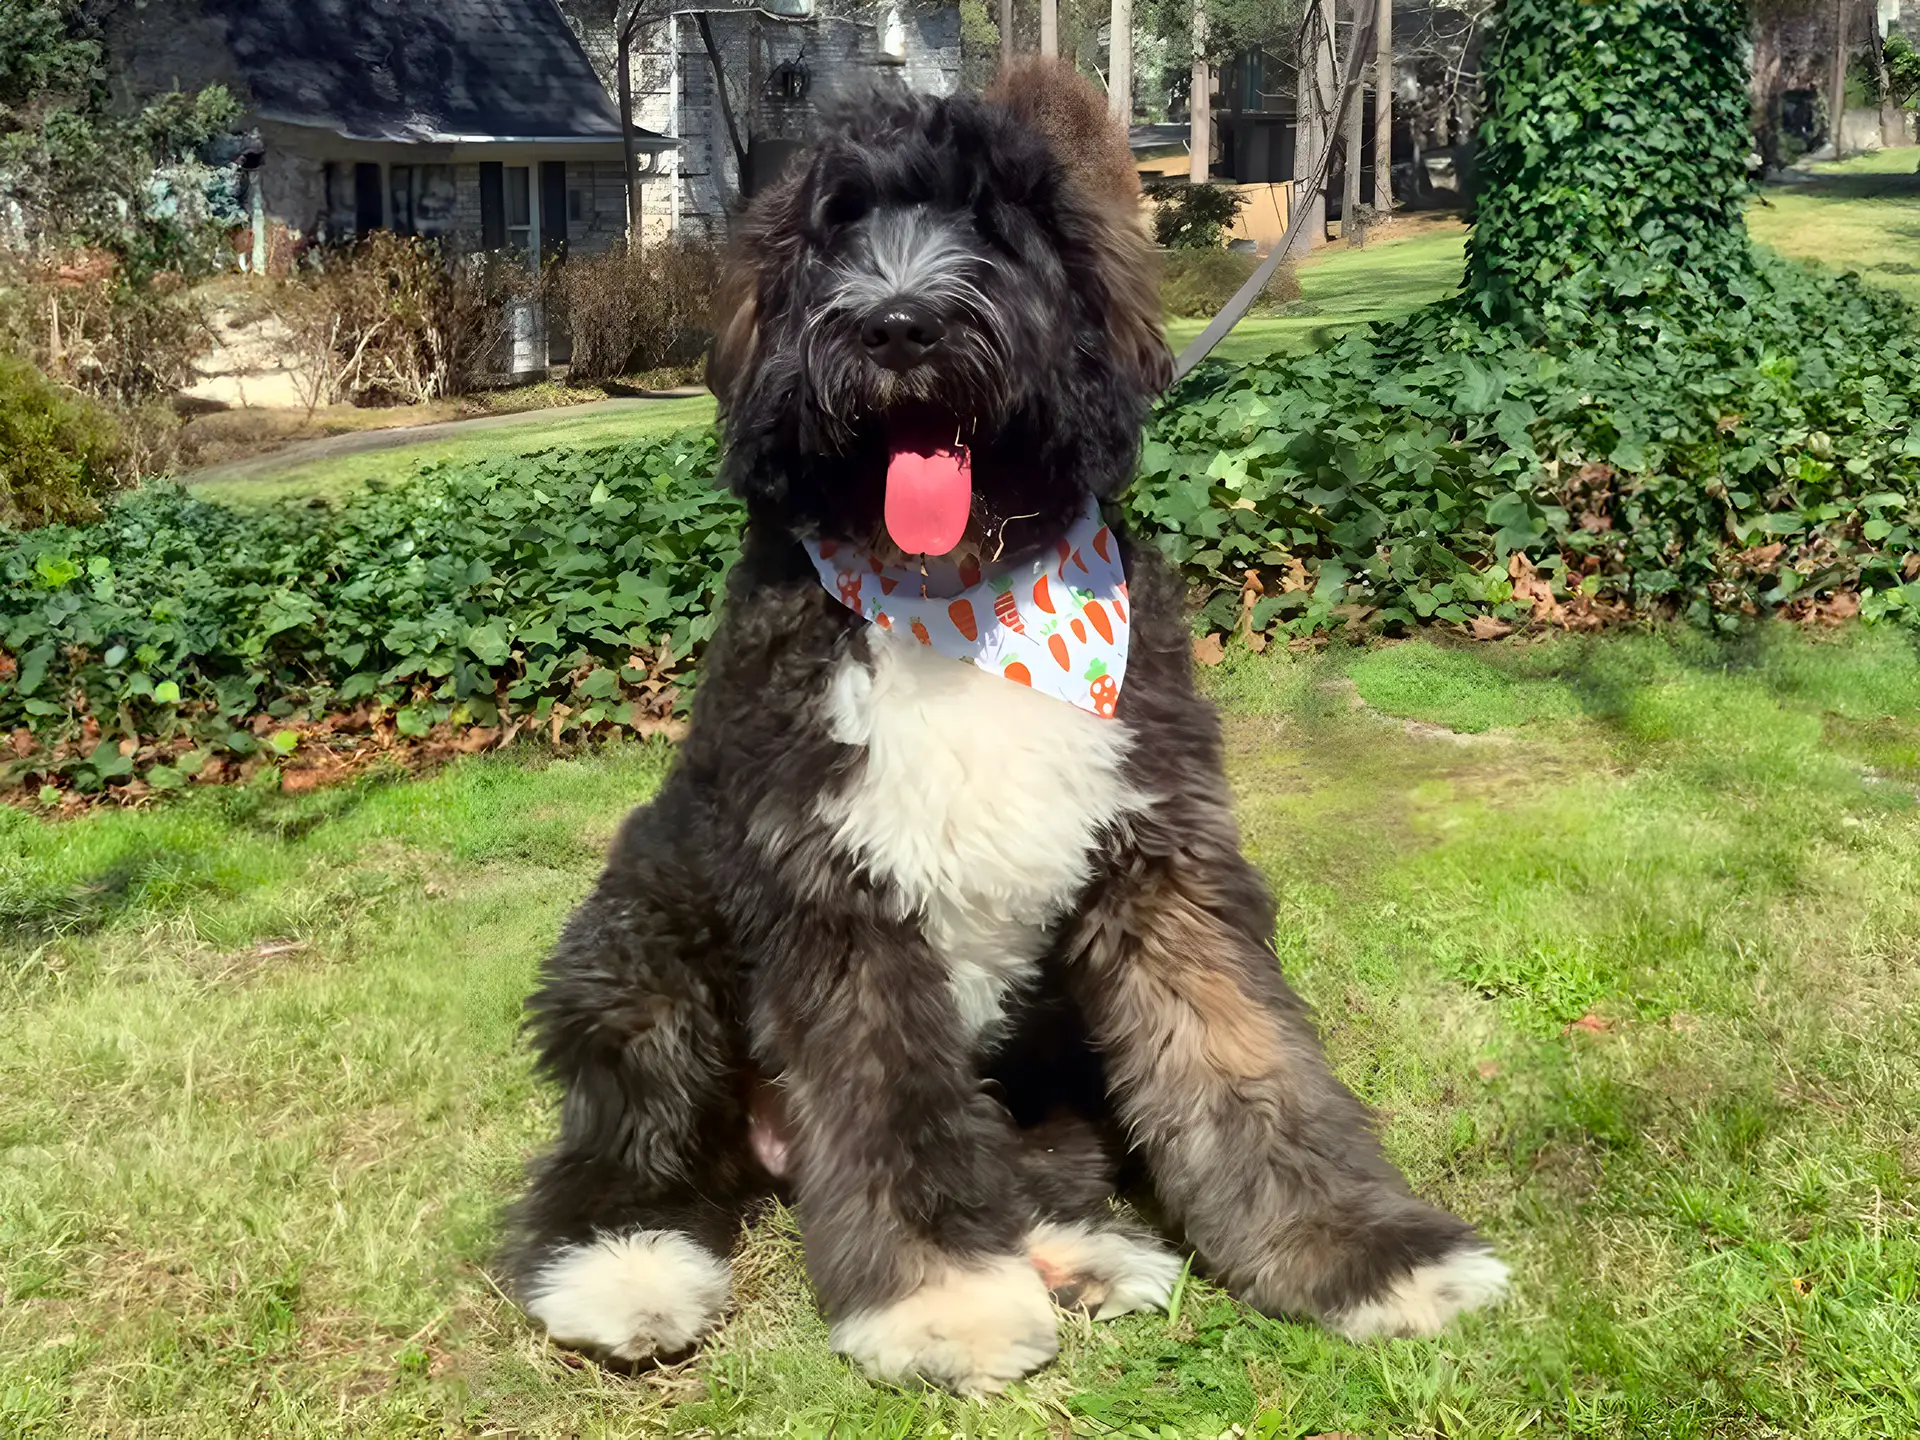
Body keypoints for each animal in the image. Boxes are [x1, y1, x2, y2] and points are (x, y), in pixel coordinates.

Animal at [503, 59, 1505, 1397]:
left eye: (991, 225)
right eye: (834, 234)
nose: (897, 326)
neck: (967, 606)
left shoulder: (1161, 863)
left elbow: (1245, 1060)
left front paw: (1366, 1254)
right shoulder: (839, 898)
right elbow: (892, 1111)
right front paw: (943, 1303)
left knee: (1032, 1153)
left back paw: (1079, 1253)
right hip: (645, 955)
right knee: (624, 1144)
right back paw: (625, 1269)